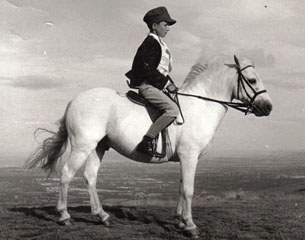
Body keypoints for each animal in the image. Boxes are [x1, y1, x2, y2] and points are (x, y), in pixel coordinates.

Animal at [27, 55, 270, 237]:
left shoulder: (184, 159)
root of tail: (74, 101)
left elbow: (181, 187)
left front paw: (180, 221)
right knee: (67, 174)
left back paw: (102, 216)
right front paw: (190, 226)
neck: (200, 105)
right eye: (252, 80)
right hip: (82, 145)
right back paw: (64, 216)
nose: (268, 107)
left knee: (90, 177)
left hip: (98, 147)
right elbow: (189, 189)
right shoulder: (189, 156)